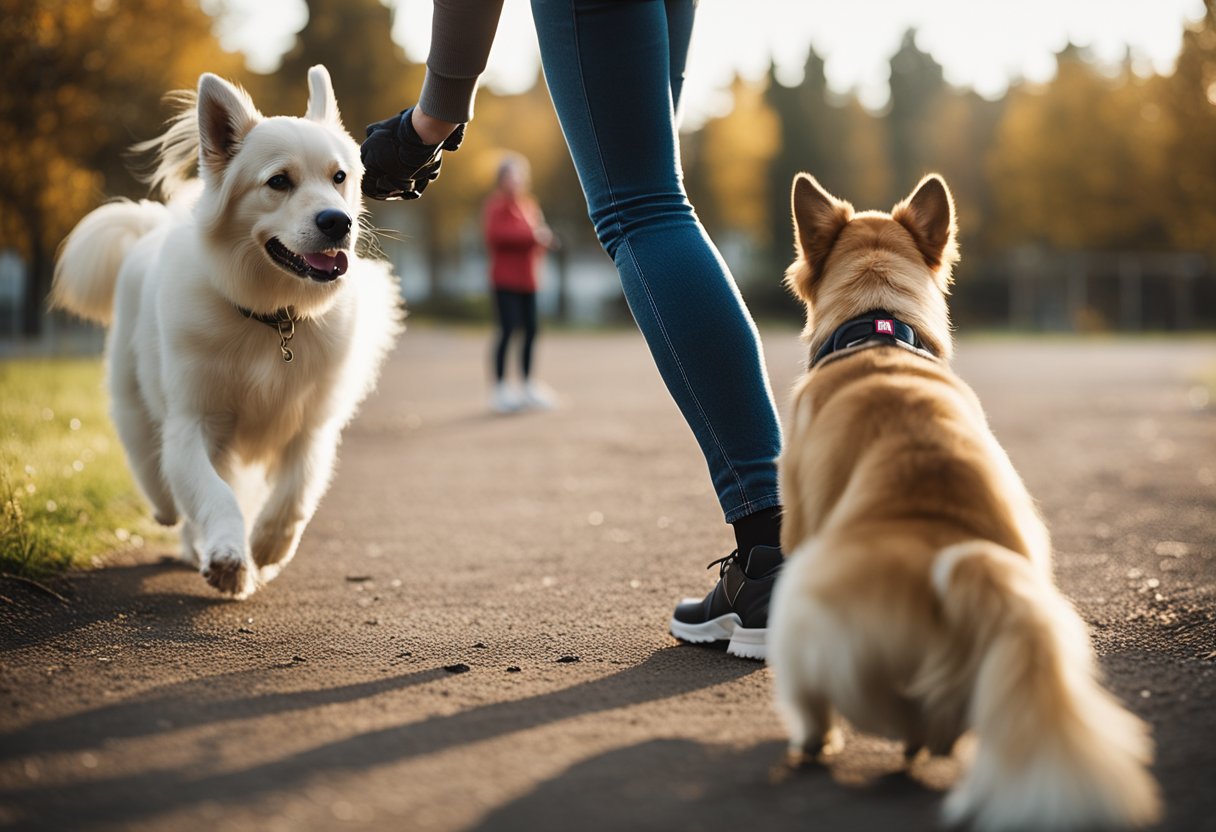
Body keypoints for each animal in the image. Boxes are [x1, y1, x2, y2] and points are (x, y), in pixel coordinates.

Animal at [49, 66, 401, 598]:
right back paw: (172, 516)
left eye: (339, 177)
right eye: (278, 181)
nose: (337, 222)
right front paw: (229, 557)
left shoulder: (311, 425)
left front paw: (267, 547)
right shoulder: (193, 421)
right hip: (132, 398)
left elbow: (295, 494)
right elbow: (213, 494)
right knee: (154, 470)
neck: (273, 318)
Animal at [768, 172, 1157, 827]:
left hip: (800, 611)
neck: (878, 330)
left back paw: (816, 744)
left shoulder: (794, 519)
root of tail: (957, 556)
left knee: (850, 711)